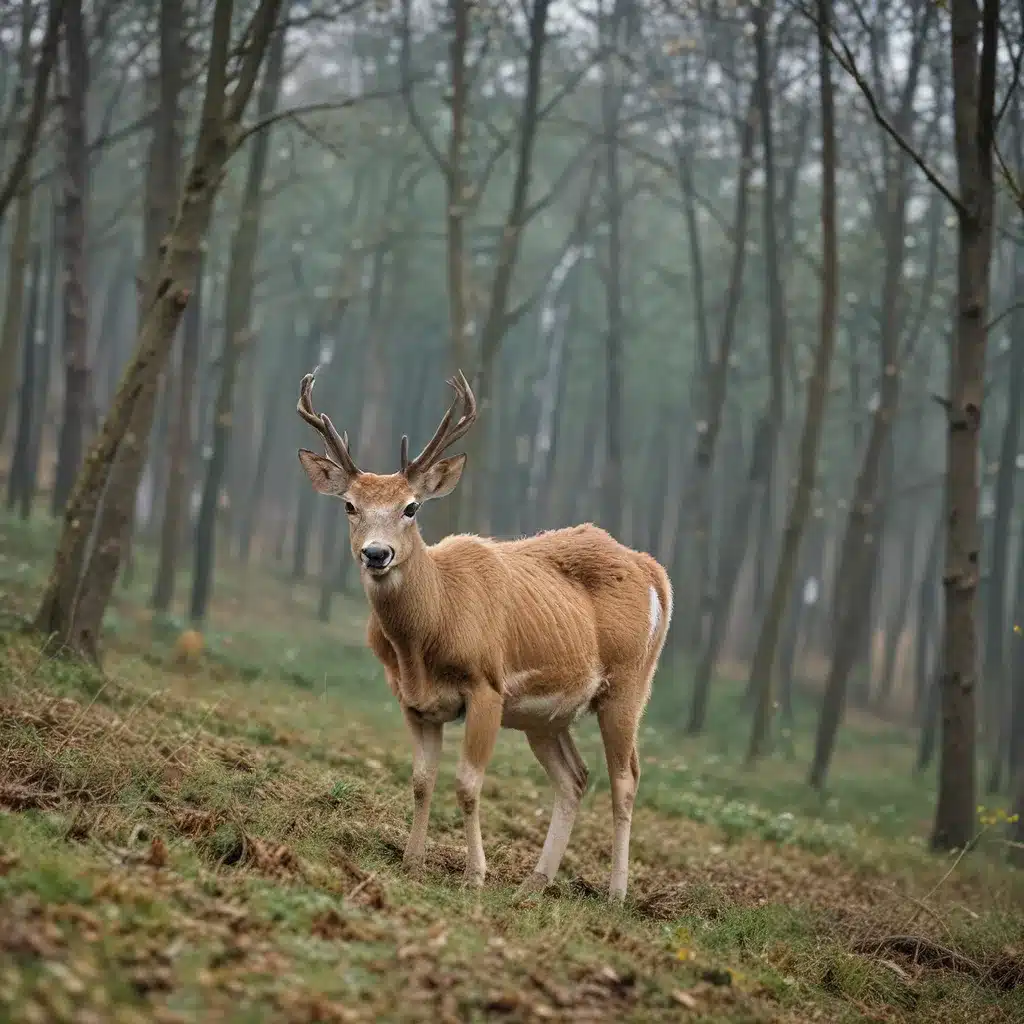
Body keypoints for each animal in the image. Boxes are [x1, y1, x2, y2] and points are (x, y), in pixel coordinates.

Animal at [294, 370, 671, 905]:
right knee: (575, 778)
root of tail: (654, 571)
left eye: (411, 507)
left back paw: (615, 893)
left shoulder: (487, 686)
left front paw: (475, 874)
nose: (376, 553)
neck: (428, 635)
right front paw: (412, 862)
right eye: (350, 505)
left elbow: (468, 784)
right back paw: (535, 882)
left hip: (629, 684)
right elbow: (421, 780)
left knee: (626, 778)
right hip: (546, 716)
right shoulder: (412, 701)